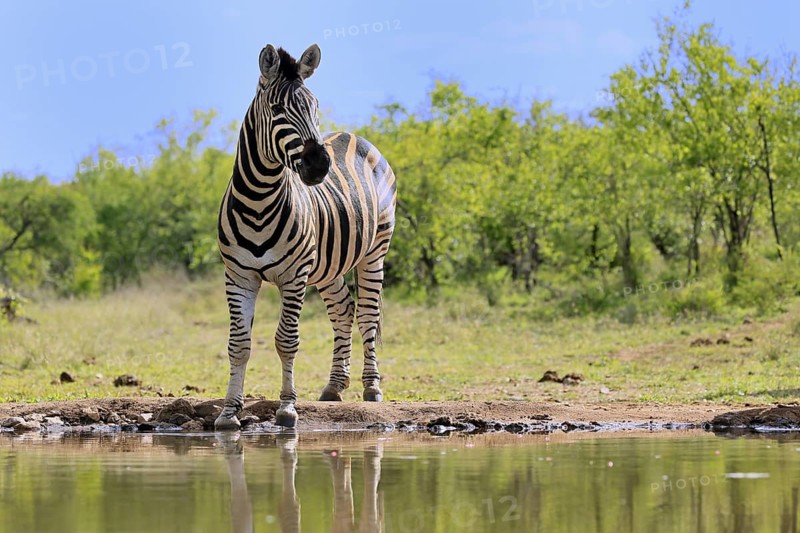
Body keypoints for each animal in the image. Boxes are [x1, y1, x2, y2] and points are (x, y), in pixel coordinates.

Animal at [214, 43, 397, 429]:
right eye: (277, 109)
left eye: (314, 108)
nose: (319, 165)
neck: (258, 198)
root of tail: (351, 134)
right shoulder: (238, 275)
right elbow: (238, 344)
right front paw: (229, 412)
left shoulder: (294, 275)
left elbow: (287, 340)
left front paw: (287, 408)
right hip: (328, 265)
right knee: (343, 309)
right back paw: (334, 386)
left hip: (376, 250)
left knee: (368, 315)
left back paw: (371, 387)